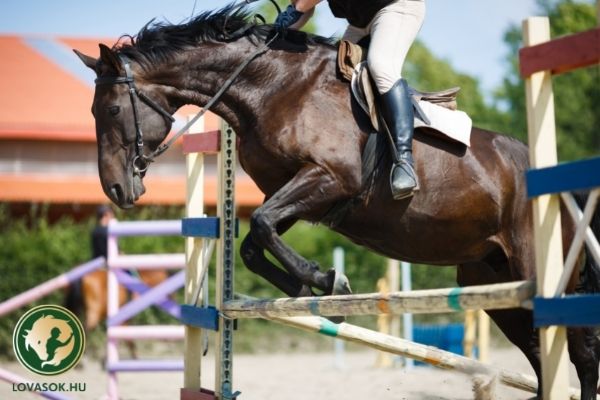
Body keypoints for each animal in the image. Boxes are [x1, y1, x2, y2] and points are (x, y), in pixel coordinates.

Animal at [75, 6, 600, 400]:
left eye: (113, 109)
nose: (116, 190)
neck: (269, 87)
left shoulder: (329, 179)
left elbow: (261, 223)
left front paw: (331, 282)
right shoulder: (299, 194)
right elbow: (253, 241)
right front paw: (316, 292)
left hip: (538, 267)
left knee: (579, 351)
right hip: (490, 279)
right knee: (539, 351)